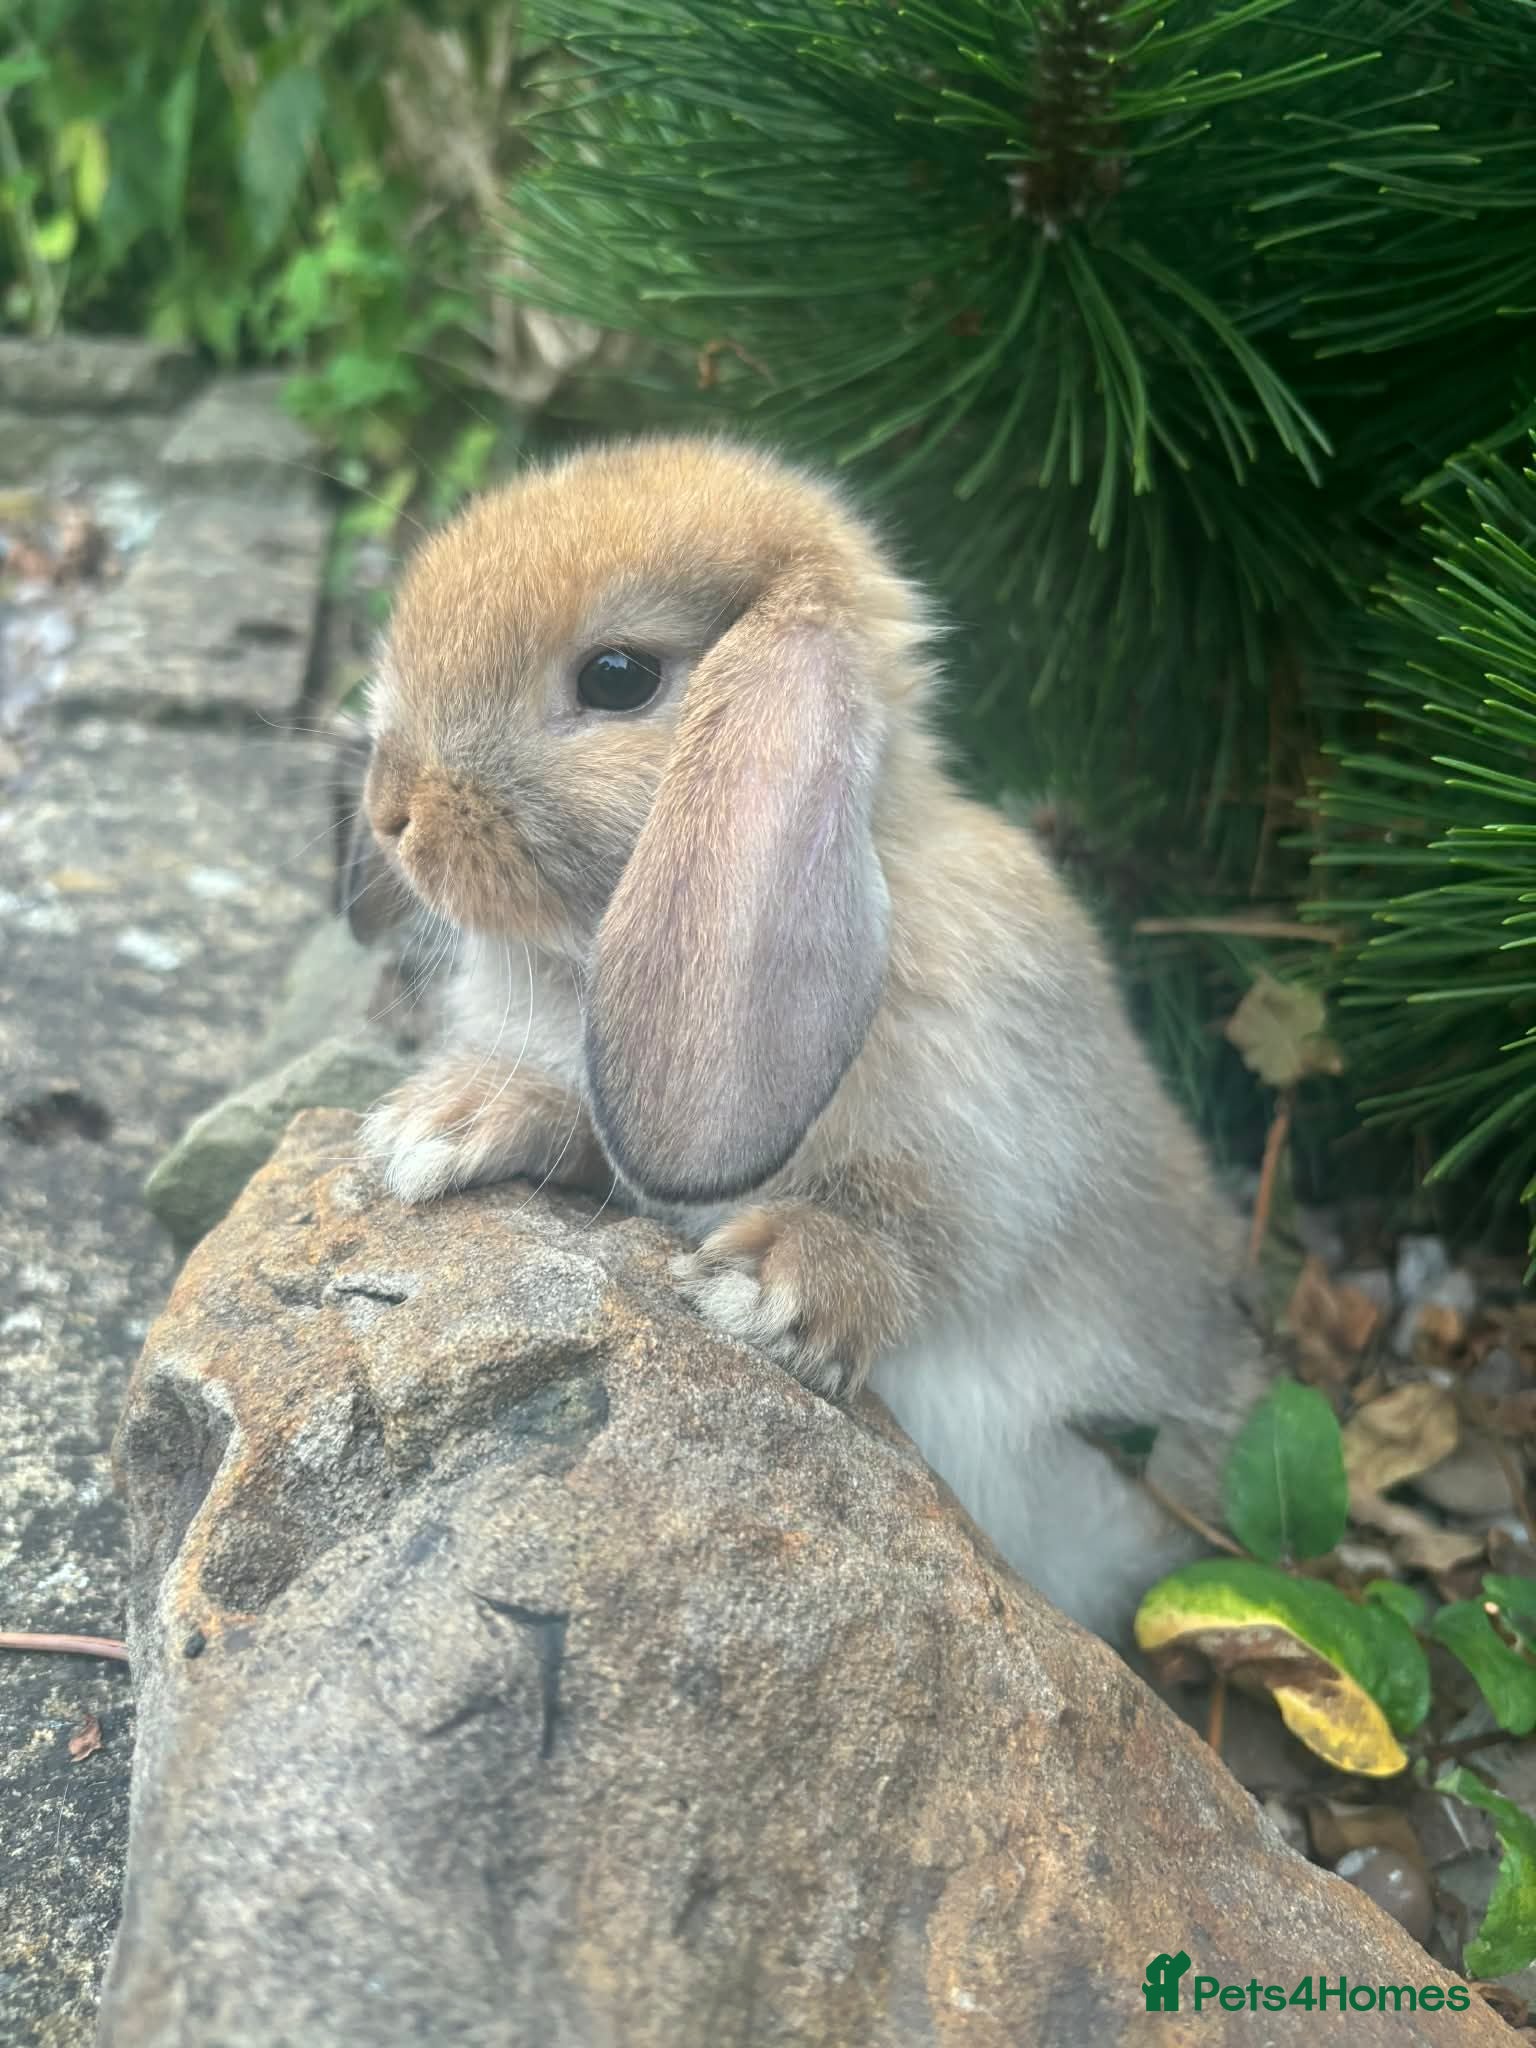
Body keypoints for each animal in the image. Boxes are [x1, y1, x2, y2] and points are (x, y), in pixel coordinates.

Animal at [345, 434, 1267, 1642]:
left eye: (617, 677)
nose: (390, 813)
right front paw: (445, 1125)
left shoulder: (989, 1153)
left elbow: (920, 1242)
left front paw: (771, 1283)